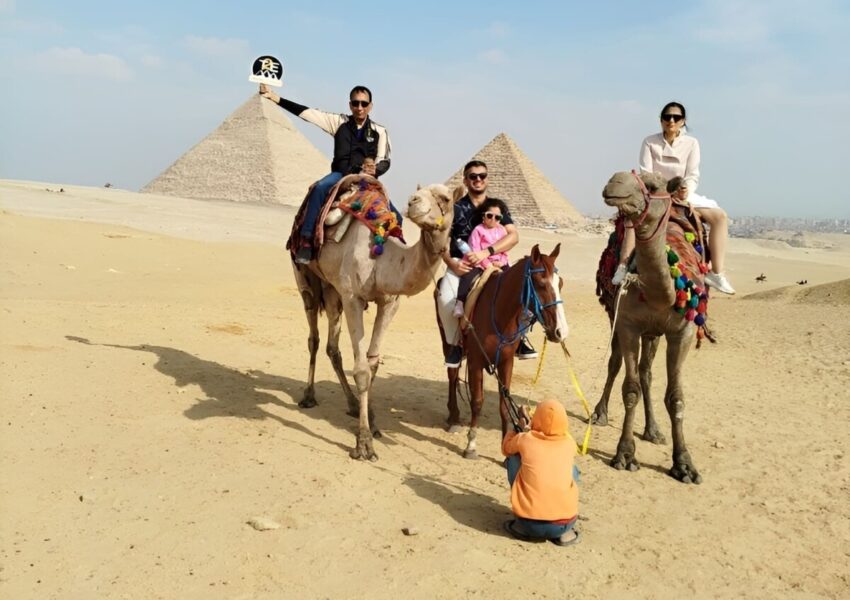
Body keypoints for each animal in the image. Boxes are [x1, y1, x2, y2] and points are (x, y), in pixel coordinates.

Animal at [294, 180, 460, 462]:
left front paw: (371, 421)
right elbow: (361, 369)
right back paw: (308, 396)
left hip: (332, 288)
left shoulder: (390, 302)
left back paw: (351, 404)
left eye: (446, 198)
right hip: (306, 276)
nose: (414, 202)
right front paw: (364, 443)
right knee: (313, 337)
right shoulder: (353, 298)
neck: (382, 260)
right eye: (420, 192)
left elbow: (372, 365)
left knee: (332, 347)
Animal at [434, 244, 568, 460]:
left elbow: (504, 403)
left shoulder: (506, 362)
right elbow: (477, 401)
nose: (561, 331)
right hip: (446, 339)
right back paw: (453, 417)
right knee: (452, 373)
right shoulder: (475, 361)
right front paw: (471, 445)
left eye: (560, 283)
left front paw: (506, 448)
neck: (500, 312)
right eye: (540, 283)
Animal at [596, 171, 704, 486]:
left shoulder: (683, 332)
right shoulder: (628, 325)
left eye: (654, 186)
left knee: (647, 373)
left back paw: (653, 430)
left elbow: (676, 396)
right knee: (615, 364)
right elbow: (629, 388)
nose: (614, 182)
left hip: (654, 334)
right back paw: (599, 414)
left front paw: (684, 465)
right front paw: (624, 455)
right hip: (615, 316)